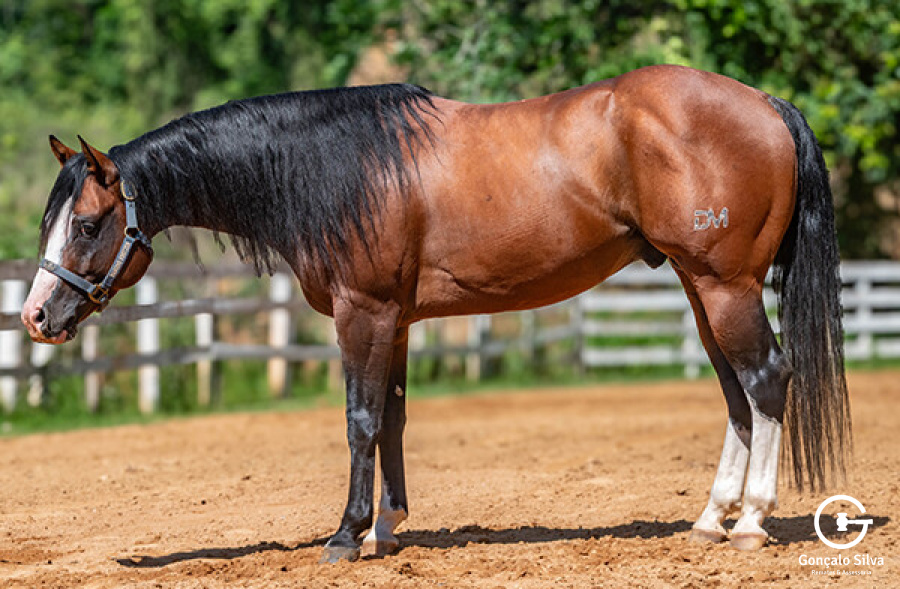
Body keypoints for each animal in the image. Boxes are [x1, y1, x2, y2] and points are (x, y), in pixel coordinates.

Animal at [21, 65, 850, 562]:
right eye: (48, 222)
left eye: (87, 224)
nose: (35, 316)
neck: (339, 168)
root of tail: (765, 103)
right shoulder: (395, 319)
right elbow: (392, 417)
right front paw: (387, 527)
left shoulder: (363, 313)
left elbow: (359, 418)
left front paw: (346, 535)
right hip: (701, 287)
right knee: (736, 393)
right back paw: (711, 518)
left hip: (724, 284)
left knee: (766, 379)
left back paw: (751, 522)